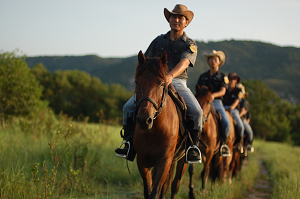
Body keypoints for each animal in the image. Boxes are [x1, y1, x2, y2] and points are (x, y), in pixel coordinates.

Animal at [133, 51, 185, 197]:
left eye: (161, 84)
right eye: (137, 83)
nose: (144, 120)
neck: (155, 130)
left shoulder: (165, 161)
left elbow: (155, 192)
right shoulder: (142, 161)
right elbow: (148, 191)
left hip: (182, 160)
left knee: (174, 185)